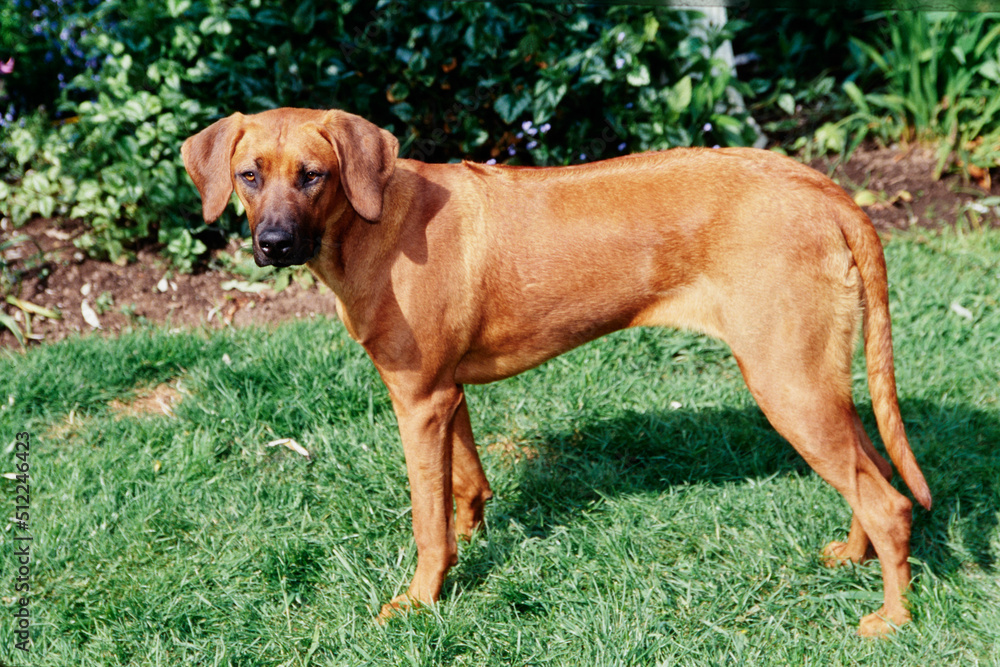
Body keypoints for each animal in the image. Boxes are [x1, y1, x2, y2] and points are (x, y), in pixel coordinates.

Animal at [184, 105, 932, 636]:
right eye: (250, 175)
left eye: (313, 174)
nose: (274, 244)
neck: (375, 221)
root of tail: (827, 190)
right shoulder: (446, 393)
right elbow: (466, 484)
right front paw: (470, 541)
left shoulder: (417, 399)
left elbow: (427, 519)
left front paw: (421, 599)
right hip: (816, 377)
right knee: (871, 468)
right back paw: (854, 555)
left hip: (787, 382)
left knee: (889, 501)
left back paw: (893, 619)